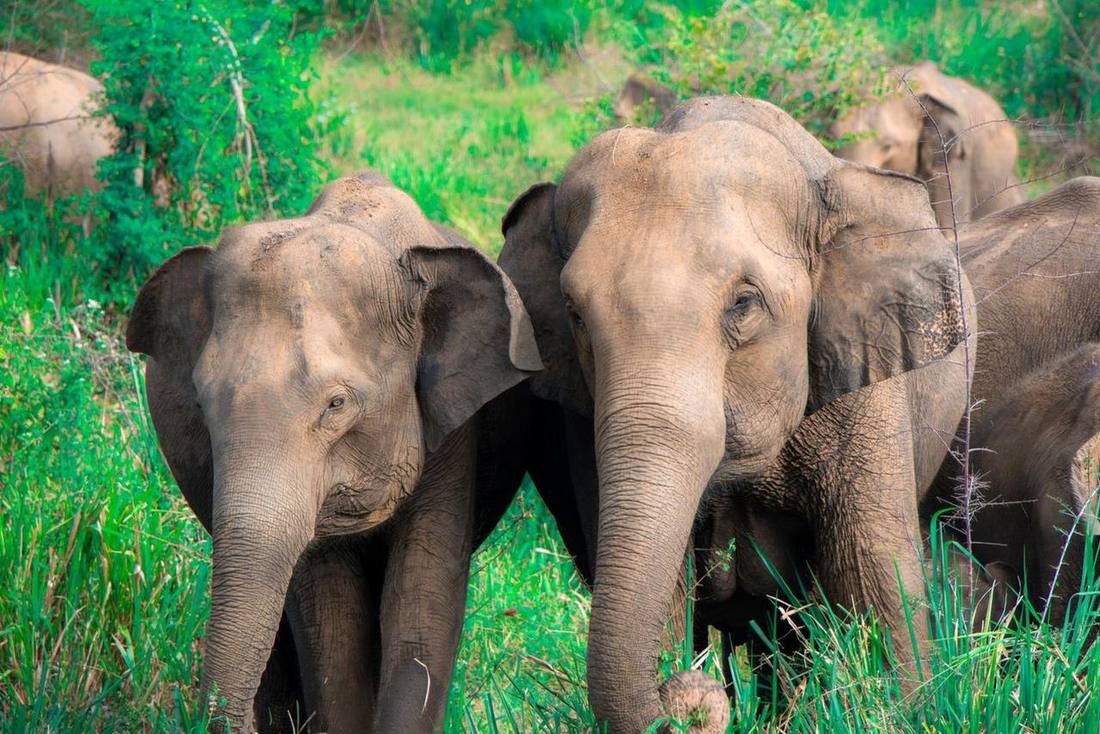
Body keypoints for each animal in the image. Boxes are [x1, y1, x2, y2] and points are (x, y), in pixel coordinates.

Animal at [499, 95, 975, 732]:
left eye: (744, 303)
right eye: (573, 311)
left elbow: (874, 576)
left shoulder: (864, 385)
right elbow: (665, 590)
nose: (690, 697)